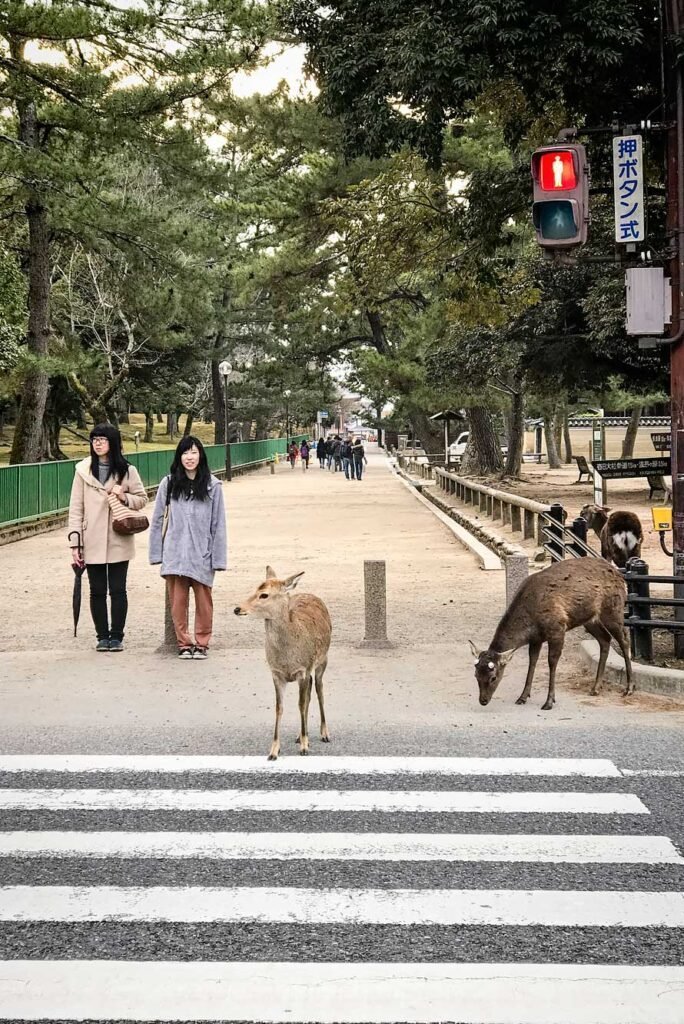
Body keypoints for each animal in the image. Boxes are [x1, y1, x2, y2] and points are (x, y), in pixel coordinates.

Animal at [234, 567, 332, 760]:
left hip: (322, 660)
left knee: (319, 689)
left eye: (264, 594)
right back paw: (300, 735)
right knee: (310, 691)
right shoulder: (276, 673)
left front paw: (304, 747)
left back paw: (324, 733)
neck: (287, 657)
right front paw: (274, 751)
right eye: (254, 589)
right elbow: (279, 708)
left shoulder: (303, 669)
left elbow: (301, 704)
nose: (237, 608)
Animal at [469, 557, 633, 710]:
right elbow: (532, 661)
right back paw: (595, 688)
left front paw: (549, 701)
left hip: (613, 609)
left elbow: (552, 662)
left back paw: (629, 688)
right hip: (590, 620)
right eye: (476, 675)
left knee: (624, 640)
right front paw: (522, 697)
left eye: (493, 677)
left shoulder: (557, 628)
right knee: (605, 639)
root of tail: (620, 575)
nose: (483, 701)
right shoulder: (536, 638)